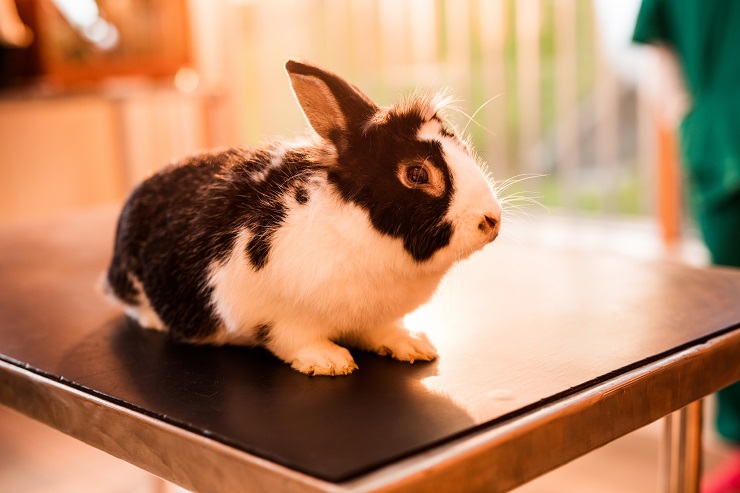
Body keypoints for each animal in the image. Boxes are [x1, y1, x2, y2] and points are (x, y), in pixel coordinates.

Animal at [101, 60, 500, 376]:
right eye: (417, 174)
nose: (492, 220)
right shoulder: (268, 310)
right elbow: (293, 339)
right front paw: (329, 361)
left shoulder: (377, 317)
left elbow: (383, 331)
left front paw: (413, 345)